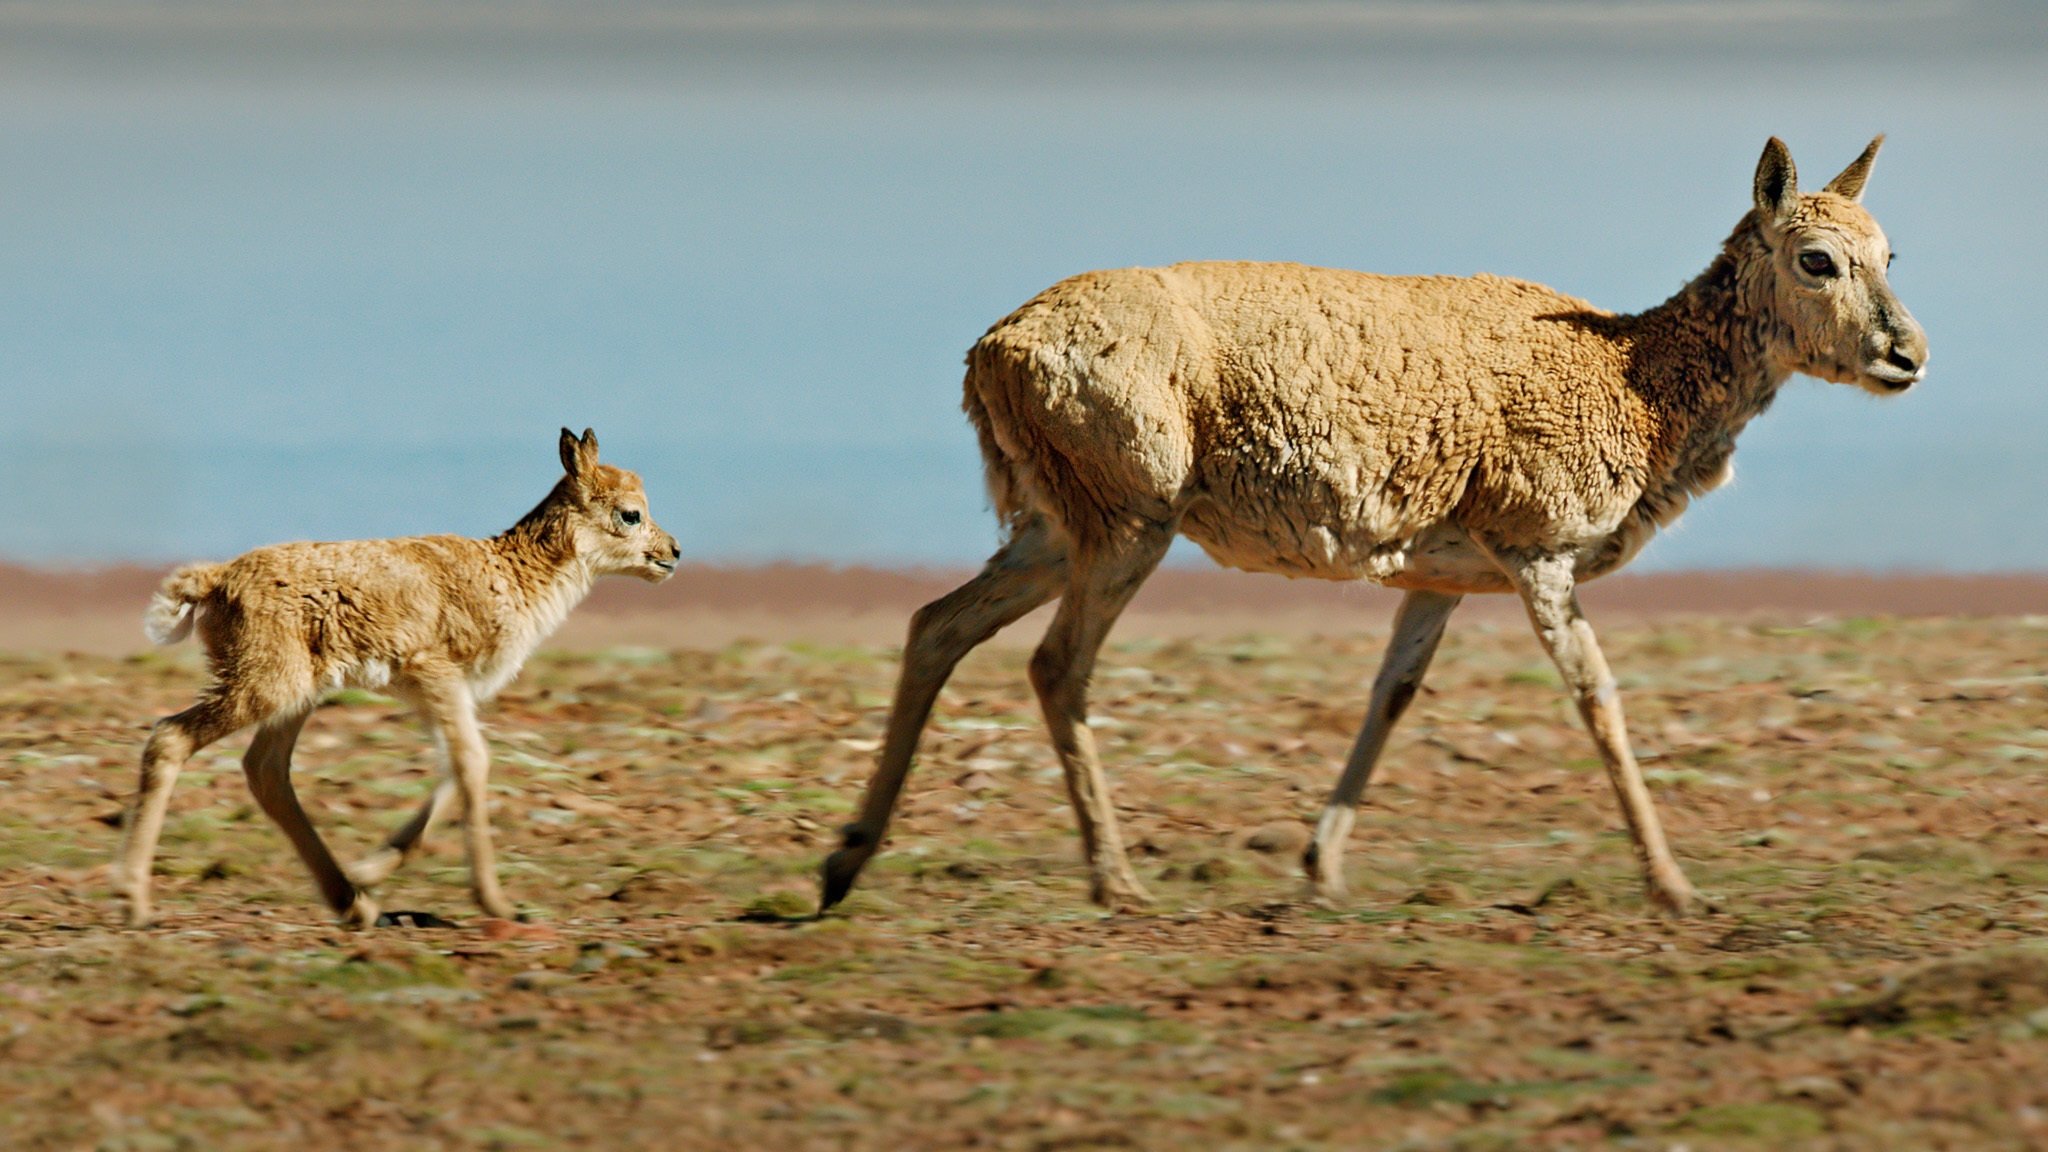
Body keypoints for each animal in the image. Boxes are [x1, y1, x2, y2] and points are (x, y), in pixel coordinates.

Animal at [114, 428, 679, 922]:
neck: (508, 574)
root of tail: (215, 580)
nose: (673, 552)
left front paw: (372, 868)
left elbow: (457, 769)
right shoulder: (436, 676)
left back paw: (352, 900)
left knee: (265, 771)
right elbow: (474, 763)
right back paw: (133, 901)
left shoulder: (442, 694)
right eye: (631, 514)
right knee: (170, 738)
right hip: (264, 686)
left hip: (296, 695)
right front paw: (495, 903)